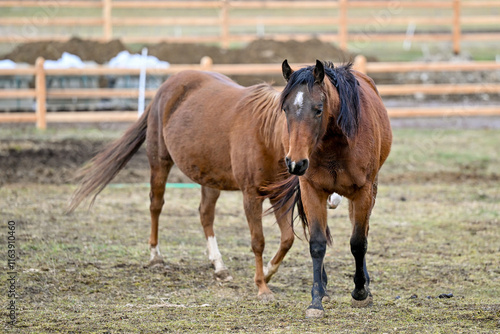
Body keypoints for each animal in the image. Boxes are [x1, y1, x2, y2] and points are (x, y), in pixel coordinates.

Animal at [268, 60, 392, 318]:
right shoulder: (311, 191)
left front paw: (360, 292)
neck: (334, 145)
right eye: (285, 109)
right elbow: (317, 243)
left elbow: (358, 242)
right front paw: (316, 300)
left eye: (318, 109)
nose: (295, 163)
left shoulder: (363, 191)